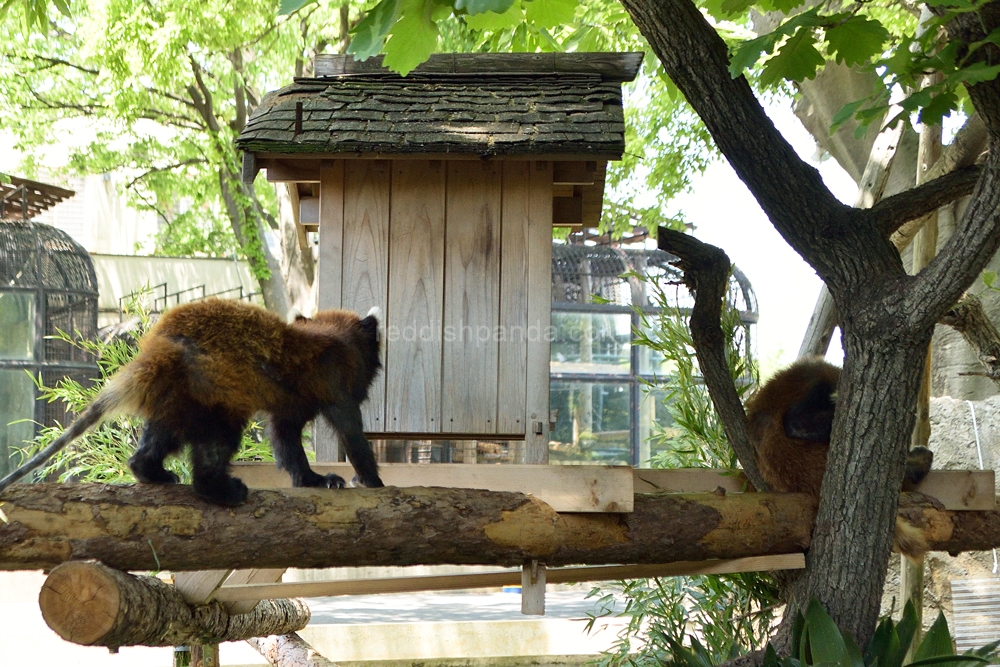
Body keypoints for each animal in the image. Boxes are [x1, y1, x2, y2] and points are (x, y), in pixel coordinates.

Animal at [0, 298, 384, 506]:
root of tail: (159, 347)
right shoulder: (334, 384)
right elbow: (351, 432)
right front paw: (371, 480)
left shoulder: (292, 403)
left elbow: (287, 441)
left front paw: (310, 479)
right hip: (212, 391)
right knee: (217, 442)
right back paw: (218, 488)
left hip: (177, 396)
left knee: (160, 435)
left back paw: (149, 469)